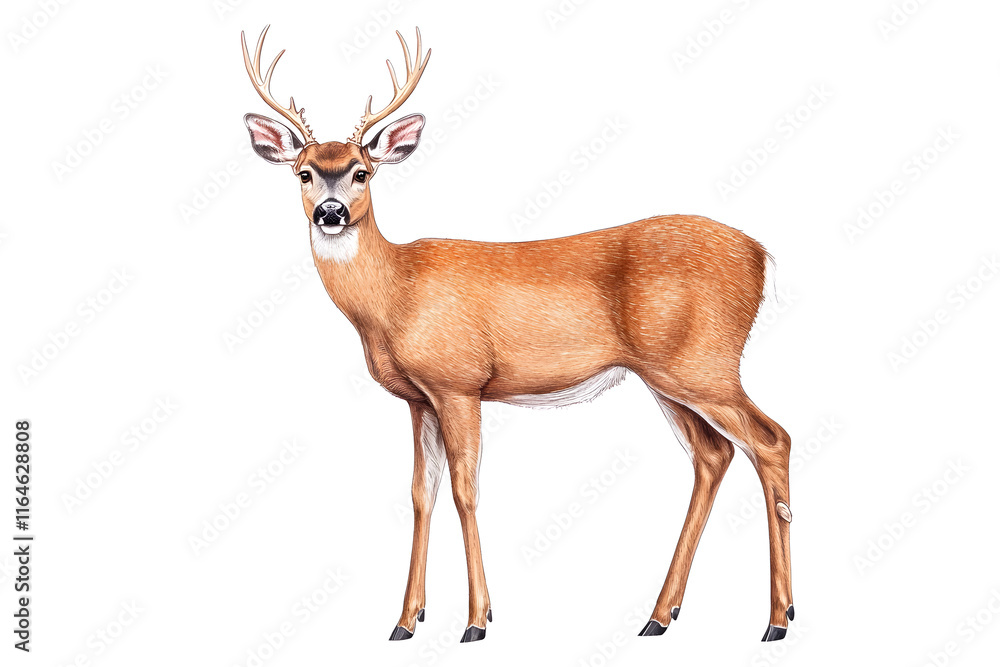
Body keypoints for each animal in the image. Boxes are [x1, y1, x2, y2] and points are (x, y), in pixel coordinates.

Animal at [240, 25, 794, 644]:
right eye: (304, 171)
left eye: (362, 170)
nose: (331, 213)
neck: (394, 295)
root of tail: (762, 256)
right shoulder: (418, 399)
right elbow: (420, 494)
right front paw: (406, 621)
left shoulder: (458, 383)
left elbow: (465, 490)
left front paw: (477, 621)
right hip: (667, 376)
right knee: (714, 455)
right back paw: (660, 615)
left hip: (704, 362)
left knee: (772, 440)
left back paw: (777, 619)